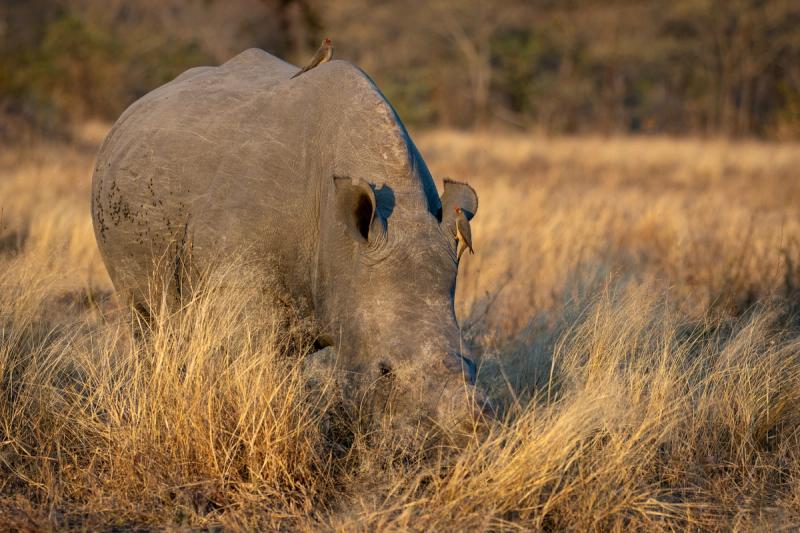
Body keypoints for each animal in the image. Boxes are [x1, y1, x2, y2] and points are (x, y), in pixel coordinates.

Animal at [91, 49, 486, 426]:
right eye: (384, 371)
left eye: (472, 364)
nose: (466, 429)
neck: (343, 242)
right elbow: (248, 369)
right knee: (145, 317)